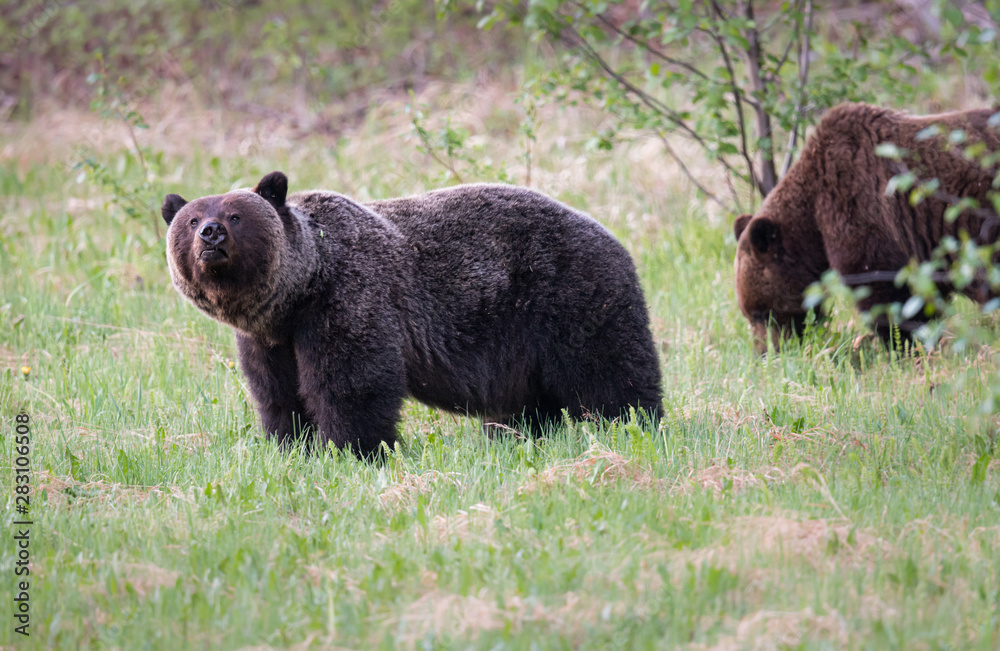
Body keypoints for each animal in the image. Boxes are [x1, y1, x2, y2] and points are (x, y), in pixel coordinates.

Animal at [162, 172, 662, 456]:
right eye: (191, 219)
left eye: (236, 214)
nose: (210, 234)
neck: (298, 292)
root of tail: (614, 236)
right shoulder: (268, 339)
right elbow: (277, 394)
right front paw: (291, 446)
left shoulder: (348, 298)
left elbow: (352, 384)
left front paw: (354, 450)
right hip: (523, 347)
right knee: (526, 403)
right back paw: (514, 437)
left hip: (568, 298)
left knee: (611, 375)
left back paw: (634, 425)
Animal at [733, 102, 1000, 350]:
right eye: (748, 314)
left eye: (761, 313)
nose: (764, 353)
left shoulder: (859, 205)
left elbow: (883, 289)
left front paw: (899, 345)